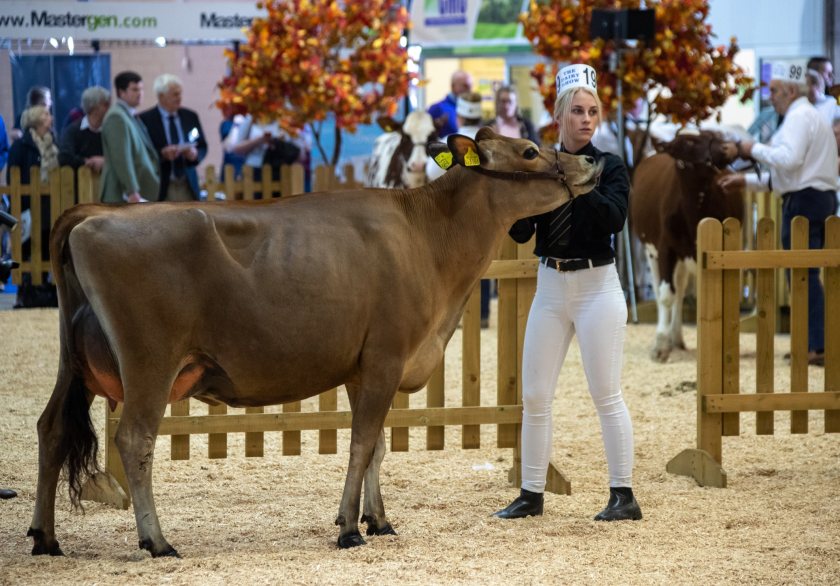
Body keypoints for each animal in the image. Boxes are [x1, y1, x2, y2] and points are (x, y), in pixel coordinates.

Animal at [27, 125, 604, 556]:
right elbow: (361, 443)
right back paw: (157, 540)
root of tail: (91, 214)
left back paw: (45, 537)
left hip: (72, 365)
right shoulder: (385, 357)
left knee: (51, 428)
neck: (427, 235)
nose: (591, 161)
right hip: (149, 362)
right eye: (529, 150)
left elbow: (377, 449)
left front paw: (379, 520)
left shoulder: (366, 367)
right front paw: (349, 528)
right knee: (135, 439)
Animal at [632, 129, 740, 360]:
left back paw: (677, 338)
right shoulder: (665, 249)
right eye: (689, 142)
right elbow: (666, 296)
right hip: (651, 252)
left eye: (713, 135)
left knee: (680, 289)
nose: (727, 147)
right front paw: (660, 347)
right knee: (662, 291)